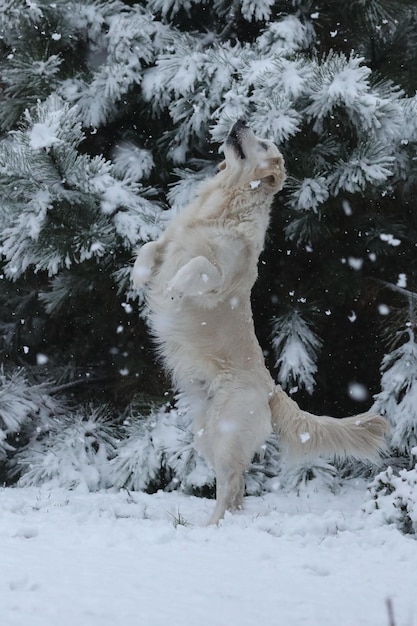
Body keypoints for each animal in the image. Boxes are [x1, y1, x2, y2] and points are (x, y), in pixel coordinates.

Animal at [131, 117, 386, 520]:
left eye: (264, 143)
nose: (239, 121)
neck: (224, 205)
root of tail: (270, 389)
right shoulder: (172, 241)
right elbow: (152, 246)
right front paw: (139, 277)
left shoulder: (220, 277)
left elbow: (197, 265)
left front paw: (173, 289)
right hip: (207, 436)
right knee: (235, 488)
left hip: (227, 433)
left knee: (232, 485)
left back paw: (213, 527)